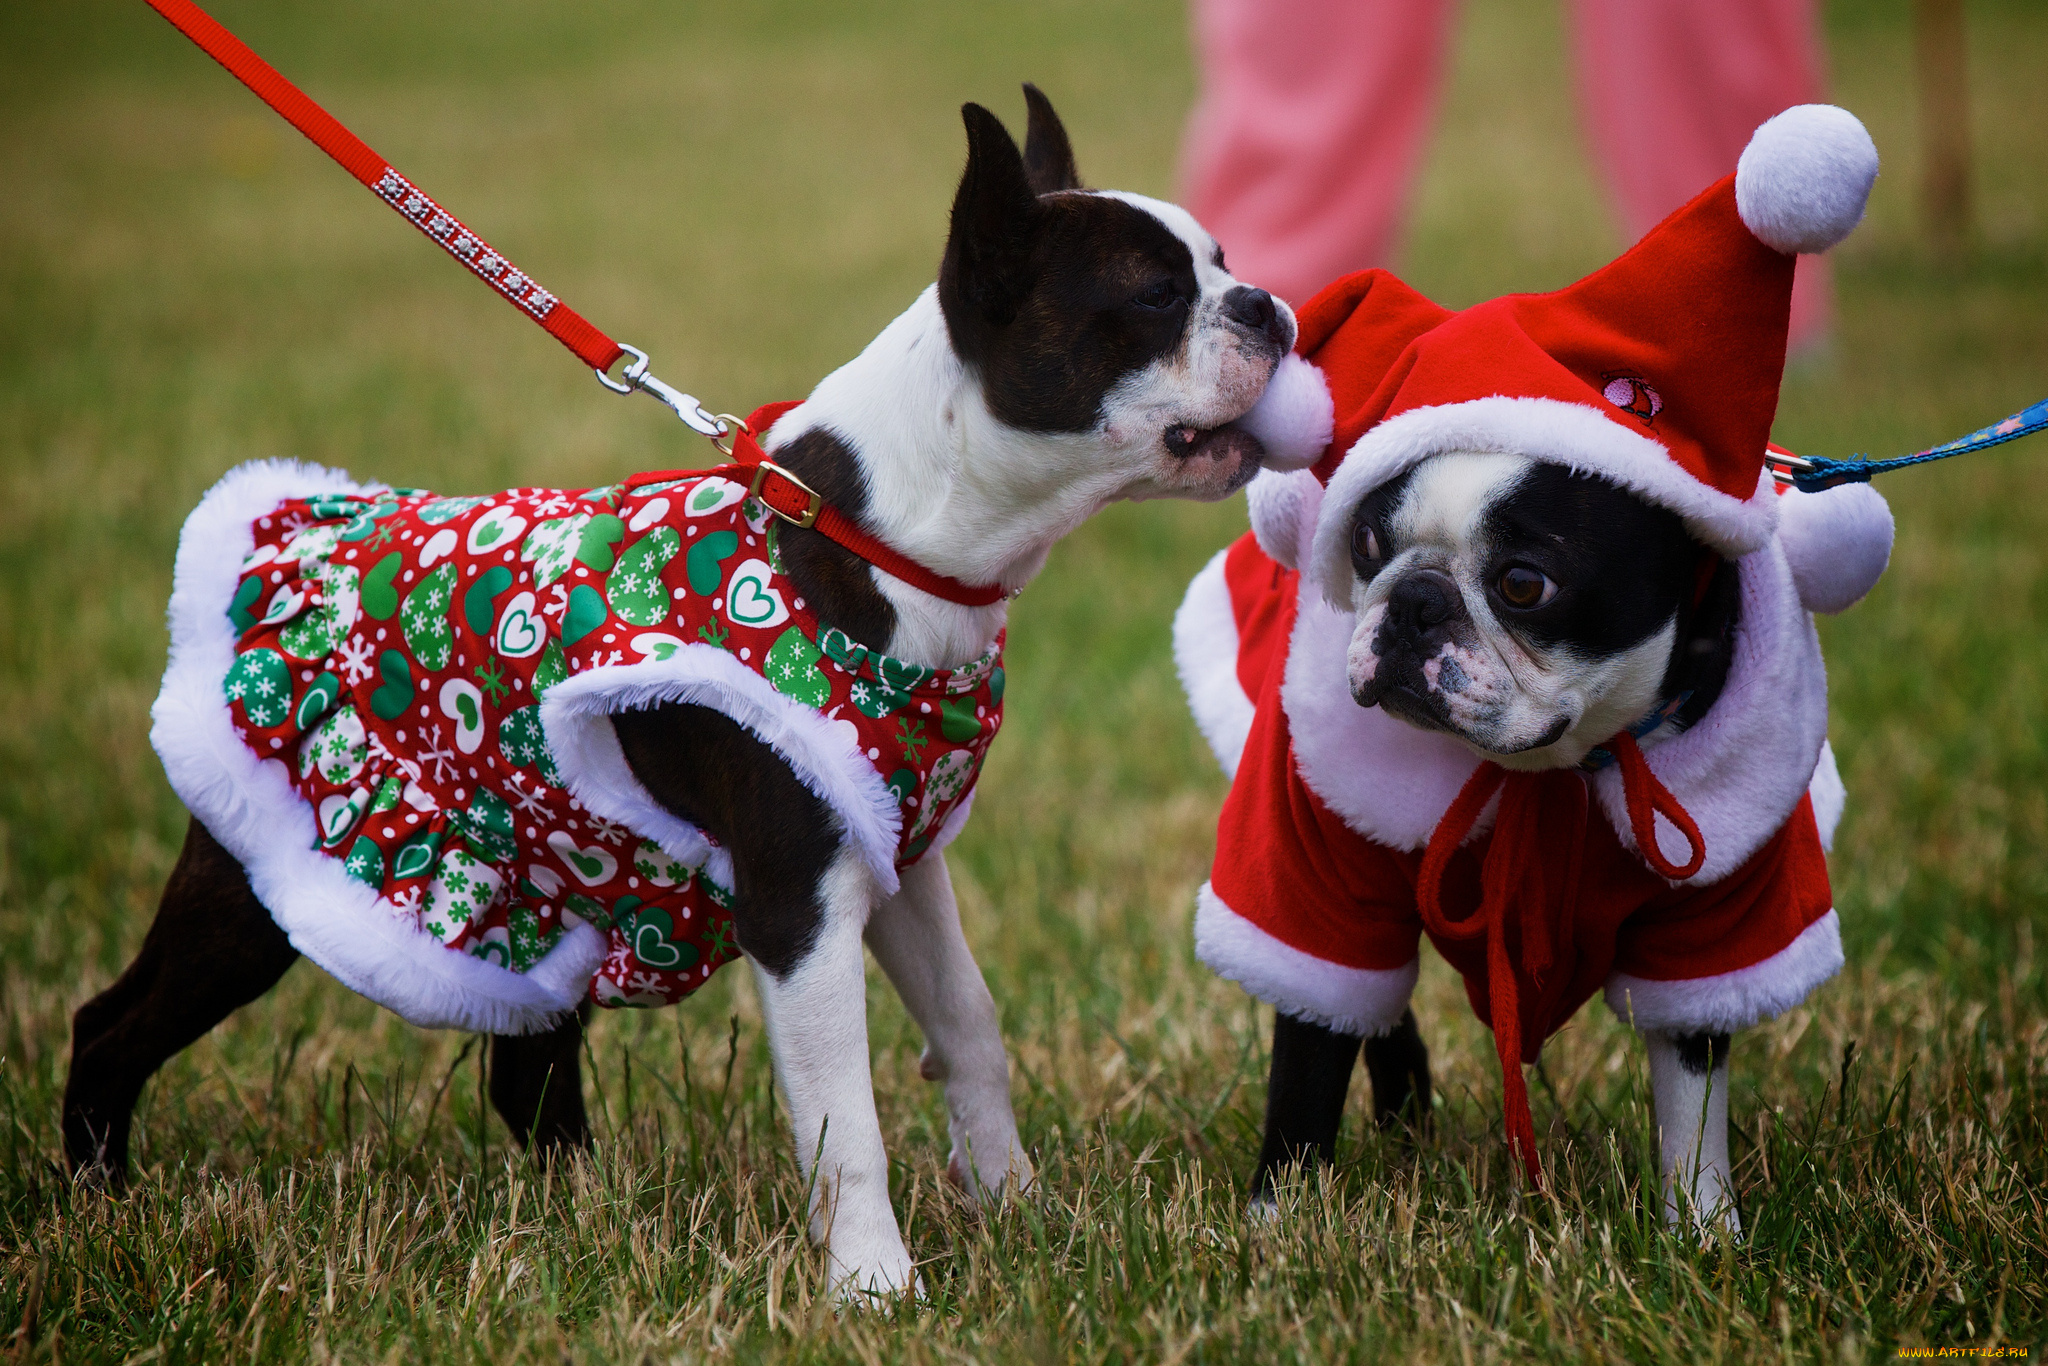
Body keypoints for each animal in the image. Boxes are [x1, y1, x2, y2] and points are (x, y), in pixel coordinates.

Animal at [75, 90, 1294, 1302]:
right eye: (1155, 295)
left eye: (1226, 264)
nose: (1269, 307)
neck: (878, 538)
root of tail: (309, 537)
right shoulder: (799, 902)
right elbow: (844, 1120)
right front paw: (875, 1287)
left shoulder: (899, 855)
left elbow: (970, 1024)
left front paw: (1017, 1207)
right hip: (260, 887)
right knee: (112, 1023)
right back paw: (99, 1209)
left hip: (541, 873)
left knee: (527, 1065)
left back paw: (584, 1215)